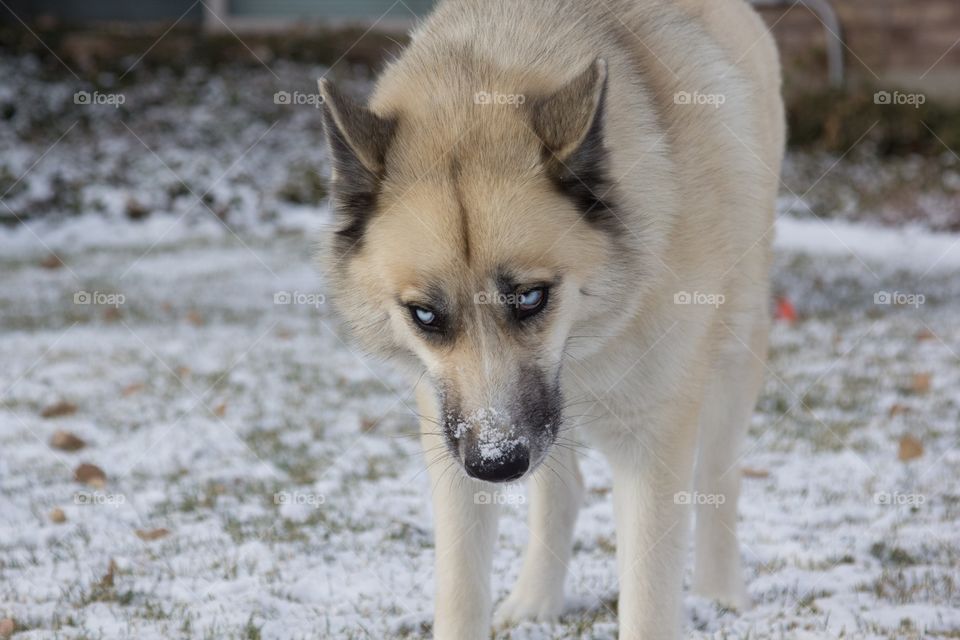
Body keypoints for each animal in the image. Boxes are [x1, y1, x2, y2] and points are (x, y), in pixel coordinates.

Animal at [318, 0, 784, 636]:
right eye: (425, 315)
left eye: (531, 297)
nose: (496, 464)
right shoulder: (454, 443)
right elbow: (461, 589)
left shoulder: (652, 443)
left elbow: (649, 601)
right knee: (563, 492)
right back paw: (537, 600)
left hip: (736, 351)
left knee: (719, 478)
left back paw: (721, 596)